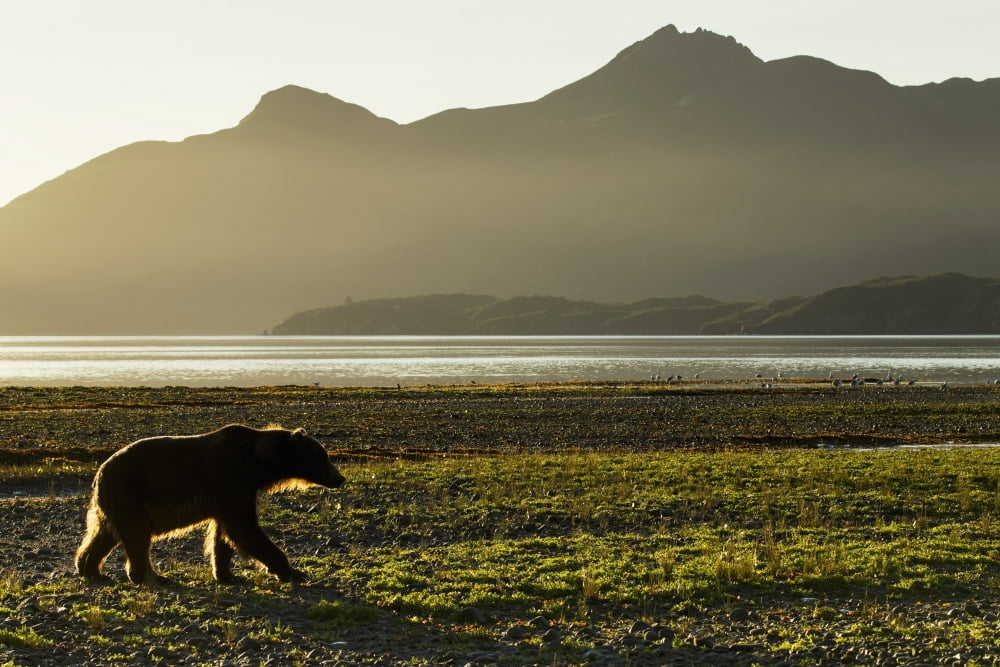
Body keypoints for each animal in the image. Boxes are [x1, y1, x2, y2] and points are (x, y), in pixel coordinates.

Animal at [75, 424, 346, 585]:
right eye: (323, 456)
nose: (340, 478)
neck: (256, 465)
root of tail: (100, 472)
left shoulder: (230, 493)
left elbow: (224, 534)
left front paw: (227, 575)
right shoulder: (231, 480)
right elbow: (244, 528)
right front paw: (292, 571)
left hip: (112, 503)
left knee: (104, 535)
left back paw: (90, 568)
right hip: (131, 493)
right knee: (137, 535)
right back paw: (152, 576)